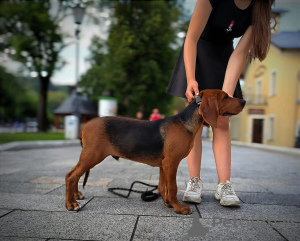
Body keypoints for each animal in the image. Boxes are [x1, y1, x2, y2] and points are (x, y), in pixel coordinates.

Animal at [65, 90, 246, 215]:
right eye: (225, 97)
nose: (244, 101)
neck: (185, 123)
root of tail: (86, 125)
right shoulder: (171, 163)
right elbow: (172, 187)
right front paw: (179, 208)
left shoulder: (163, 165)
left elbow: (163, 186)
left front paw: (168, 203)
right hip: (92, 155)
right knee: (71, 176)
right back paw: (71, 204)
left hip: (88, 156)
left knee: (73, 174)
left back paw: (76, 195)